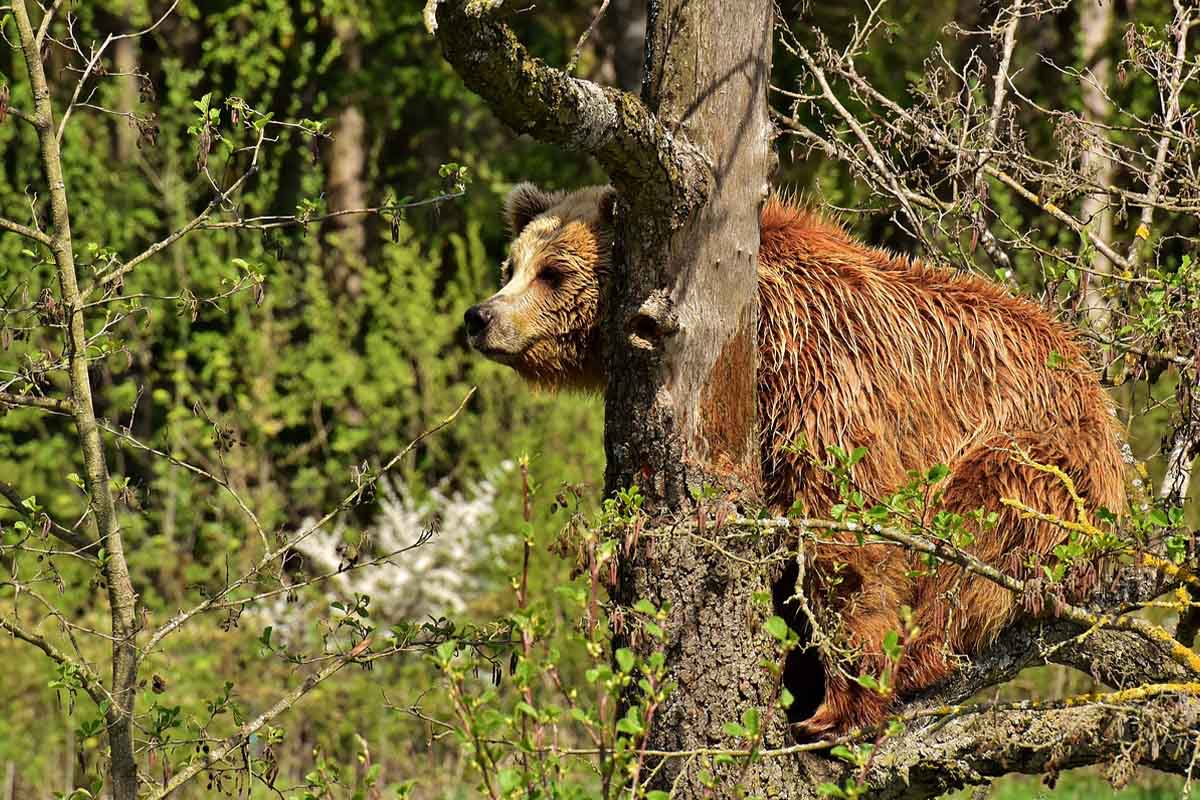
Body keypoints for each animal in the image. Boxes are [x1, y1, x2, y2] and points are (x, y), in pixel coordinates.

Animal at [465, 181, 1123, 738]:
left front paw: (840, 701)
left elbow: (849, 528)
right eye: (511, 266)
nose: (480, 317)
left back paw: (919, 655)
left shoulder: (822, 366)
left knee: (980, 528)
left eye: (553, 273)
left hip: (1039, 453)